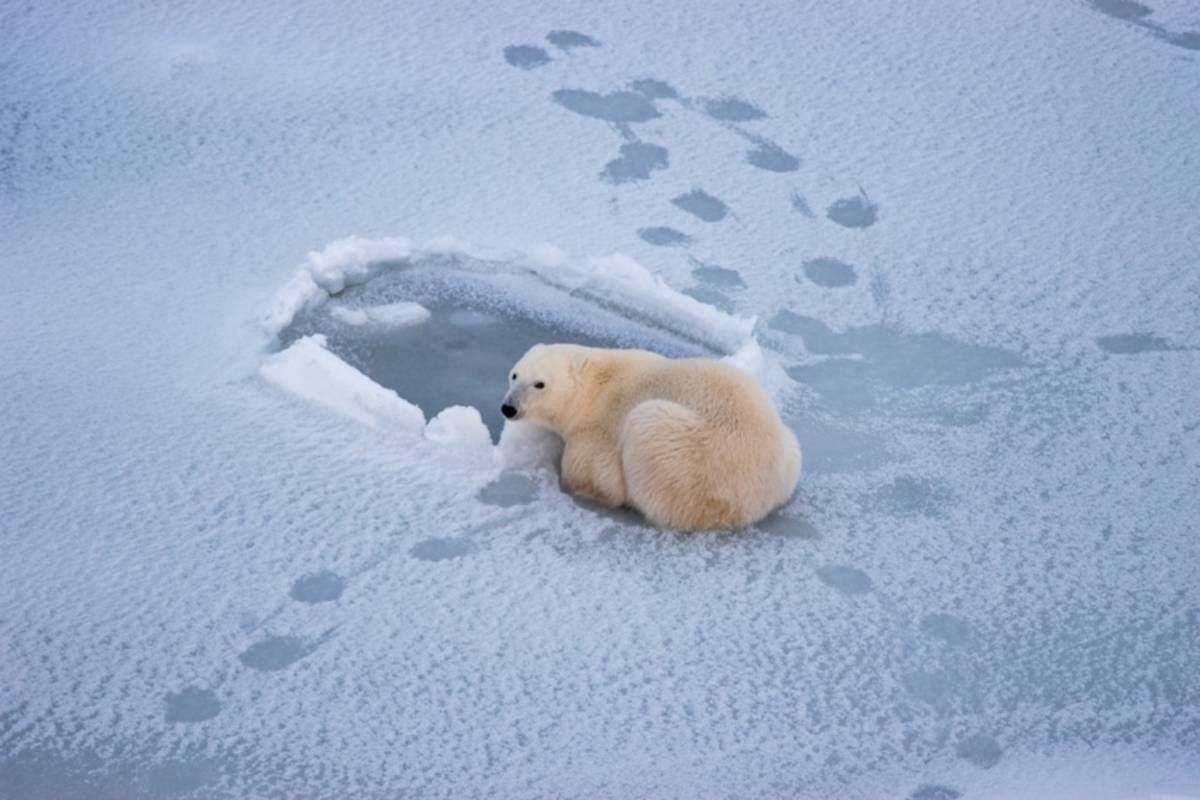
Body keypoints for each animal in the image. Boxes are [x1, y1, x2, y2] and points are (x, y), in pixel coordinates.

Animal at [501, 345, 801, 532]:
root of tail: (760, 496)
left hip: (691, 458)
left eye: (539, 384)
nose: (509, 407)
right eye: (514, 374)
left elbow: (600, 478)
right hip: (788, 448)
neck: (594, 386)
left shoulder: (600, 426)